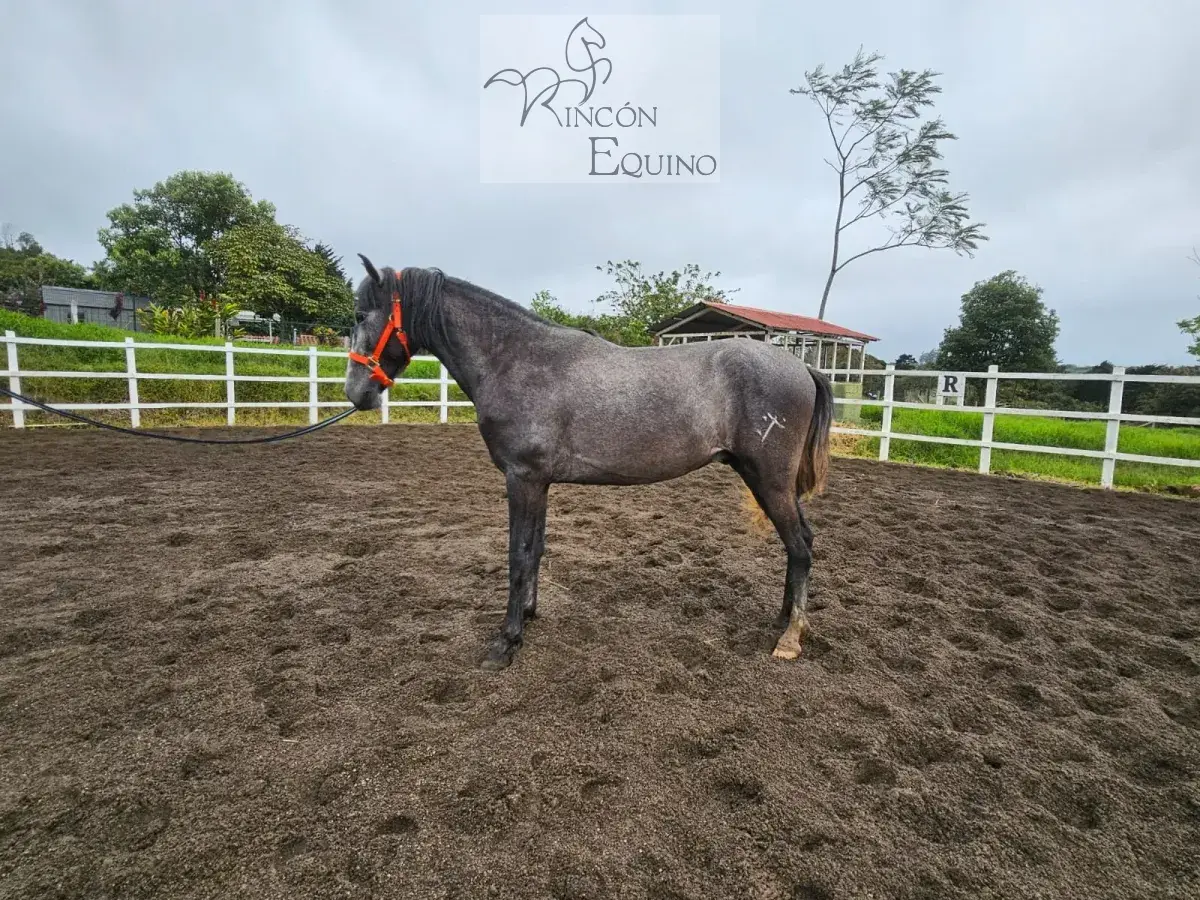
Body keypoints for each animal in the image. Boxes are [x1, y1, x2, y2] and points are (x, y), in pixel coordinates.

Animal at [343, 256, 834, 671]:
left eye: (361, 316)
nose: (356, 393)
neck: (517, 360)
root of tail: (802, 367)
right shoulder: (538, 482)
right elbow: (536, 550)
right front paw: (527, 615)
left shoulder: (522, 479)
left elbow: (518, 554)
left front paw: (506, 642)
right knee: (801, 544)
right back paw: (785, 619)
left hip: (768, 480)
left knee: (800, 547)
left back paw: (790, 638)